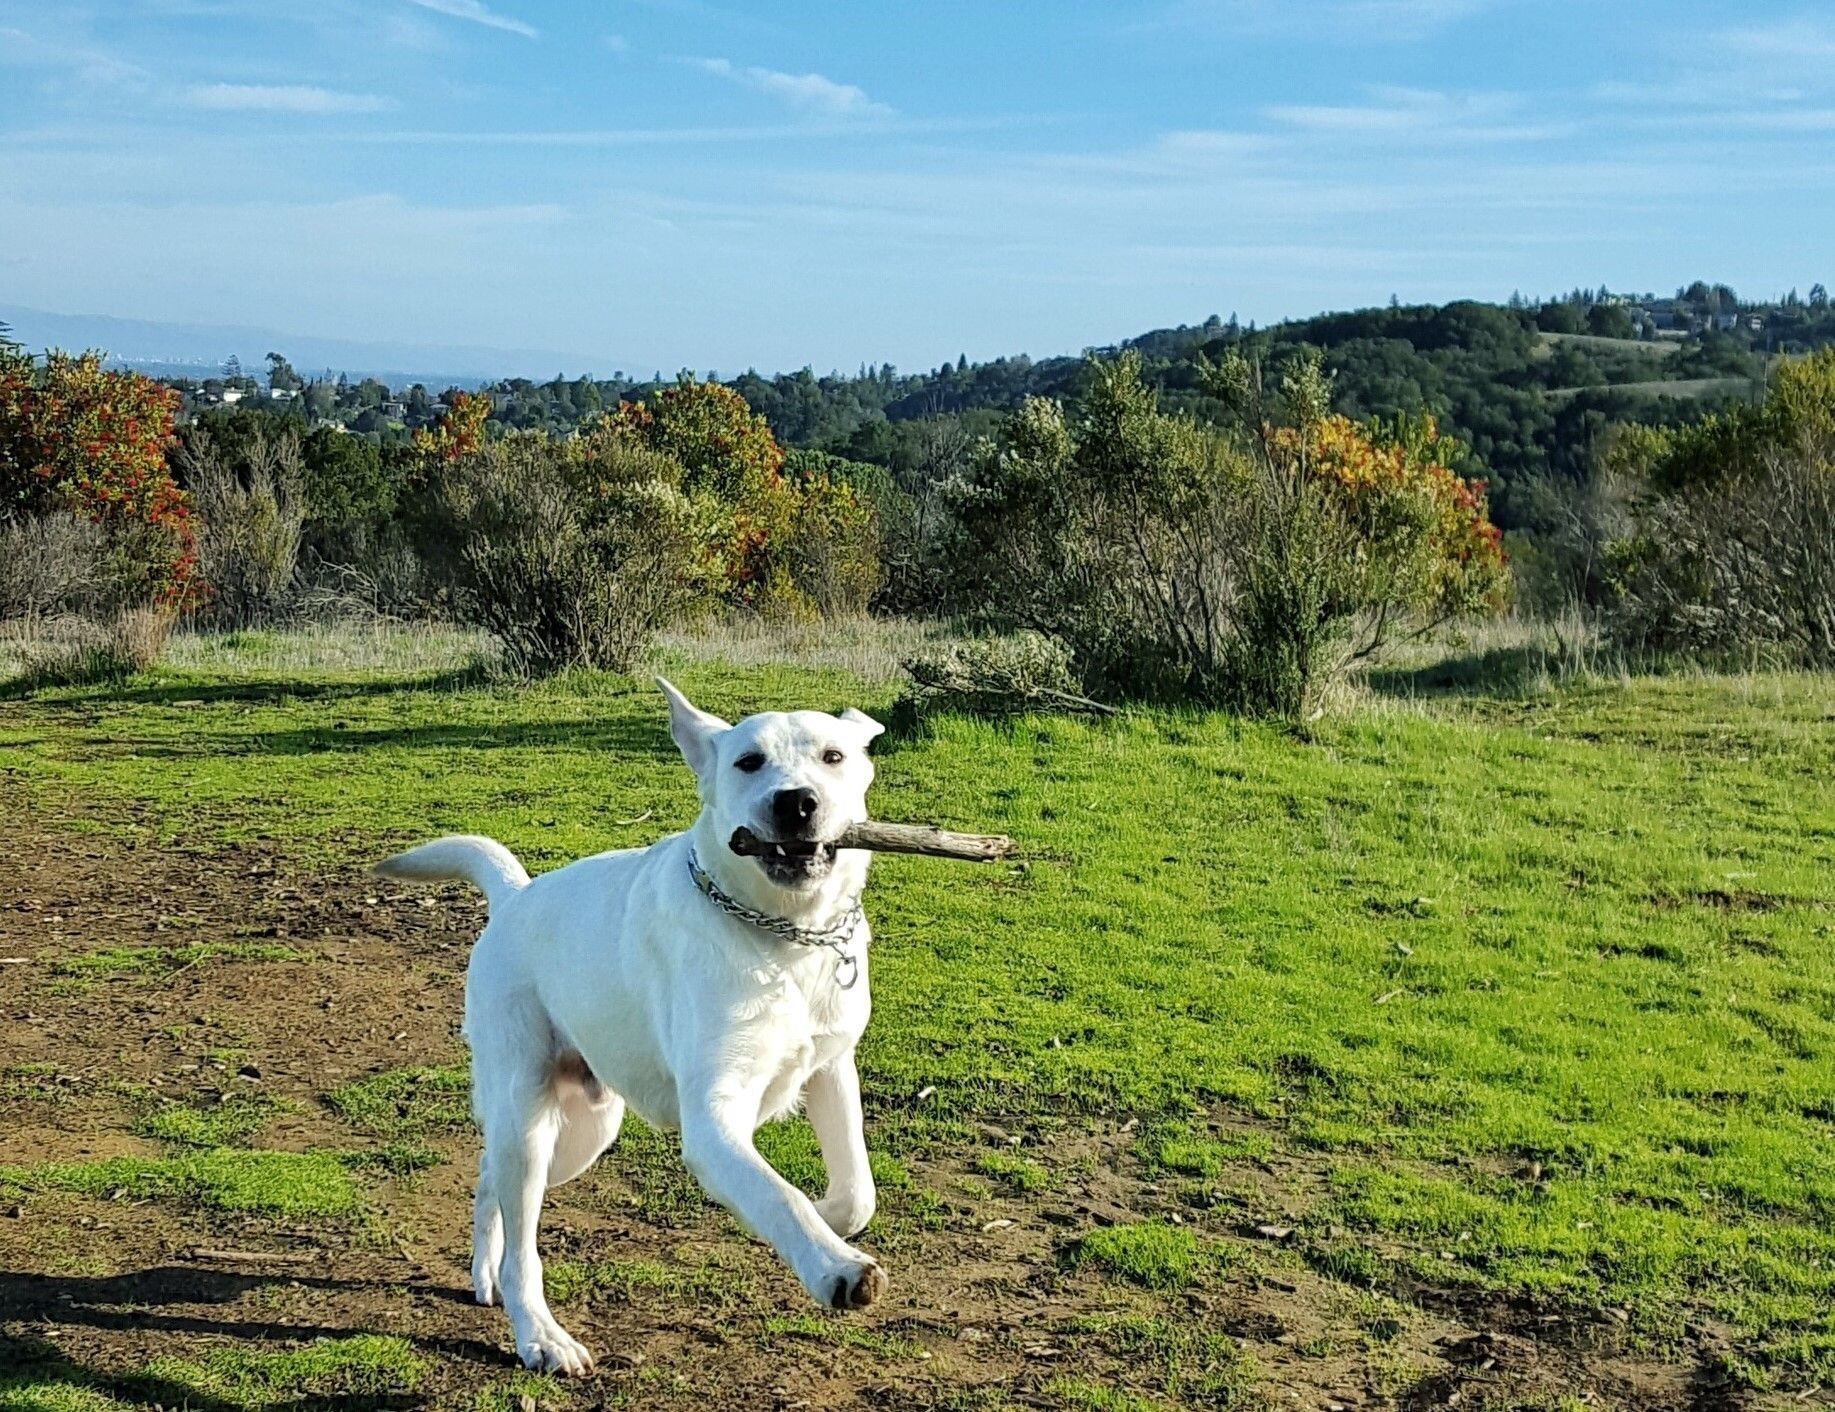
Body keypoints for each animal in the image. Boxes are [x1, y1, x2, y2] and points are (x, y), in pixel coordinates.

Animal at [374, 675, 888, 1373]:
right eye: (748, 762)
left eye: (833, 756)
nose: (797, 802)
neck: (784, 939)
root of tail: (515, 897)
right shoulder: (713, 1119)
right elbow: (777, 1193)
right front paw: (836, 1266)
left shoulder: (831, 1068)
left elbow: (855, 1188)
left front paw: (830, 1219)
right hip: (530, 1121)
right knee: (523, 1246)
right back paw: (540, 1335)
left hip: (583, 1134)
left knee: (488, 1180)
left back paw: (485, 1270)